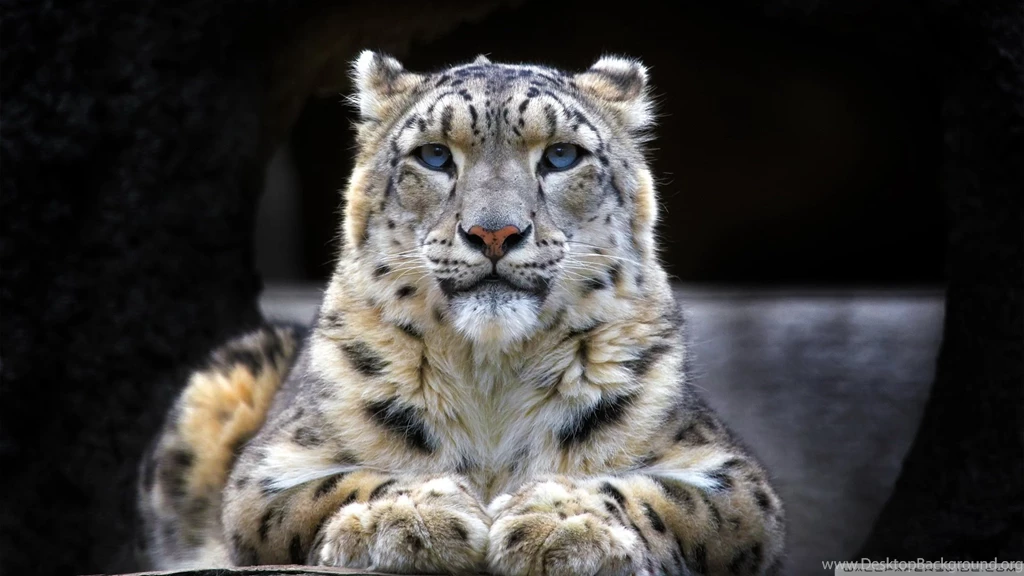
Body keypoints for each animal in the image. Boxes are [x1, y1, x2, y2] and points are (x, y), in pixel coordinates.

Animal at [137, 50, 786, 575]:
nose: (494, 233)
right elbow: (335, 485)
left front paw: (560, 520)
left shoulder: (729, 474)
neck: (492, 376)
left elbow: (660, 493)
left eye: (561, 156)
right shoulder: (271, 466)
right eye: (433, 156)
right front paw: (412, 514)